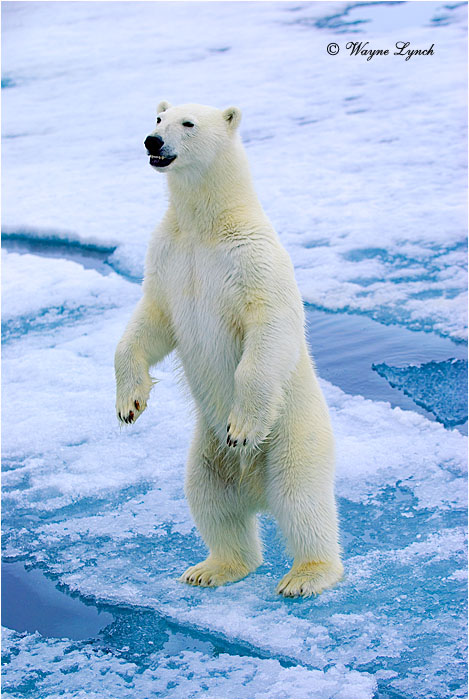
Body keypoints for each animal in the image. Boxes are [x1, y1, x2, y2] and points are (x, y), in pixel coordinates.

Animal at [114, 101, 343, 598]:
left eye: (188, 123)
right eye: (158, 119)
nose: (152, 141)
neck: (206, 227)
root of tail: (254, 489)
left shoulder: (252, 259)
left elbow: (268, 325)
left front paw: (242, 426)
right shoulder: (168, 258)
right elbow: (151, 321)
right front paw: (129, 403)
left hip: (294, 435)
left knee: (302, 500)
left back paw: (306, 575)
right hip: (206, 450)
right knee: (210, 500)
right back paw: (213, 568)